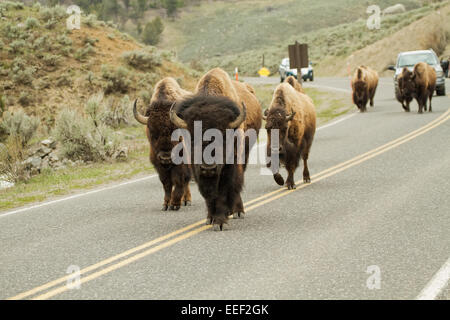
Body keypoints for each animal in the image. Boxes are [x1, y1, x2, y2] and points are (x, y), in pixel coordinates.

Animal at [132, 77, 192, 211]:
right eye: (152, 132)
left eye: (176, 132)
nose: (166, 157)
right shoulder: (158, 164)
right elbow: (166, 183)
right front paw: (166, 204)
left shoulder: (181, 161)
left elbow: (178, 180)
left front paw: (175, 204)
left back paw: (187, 200)